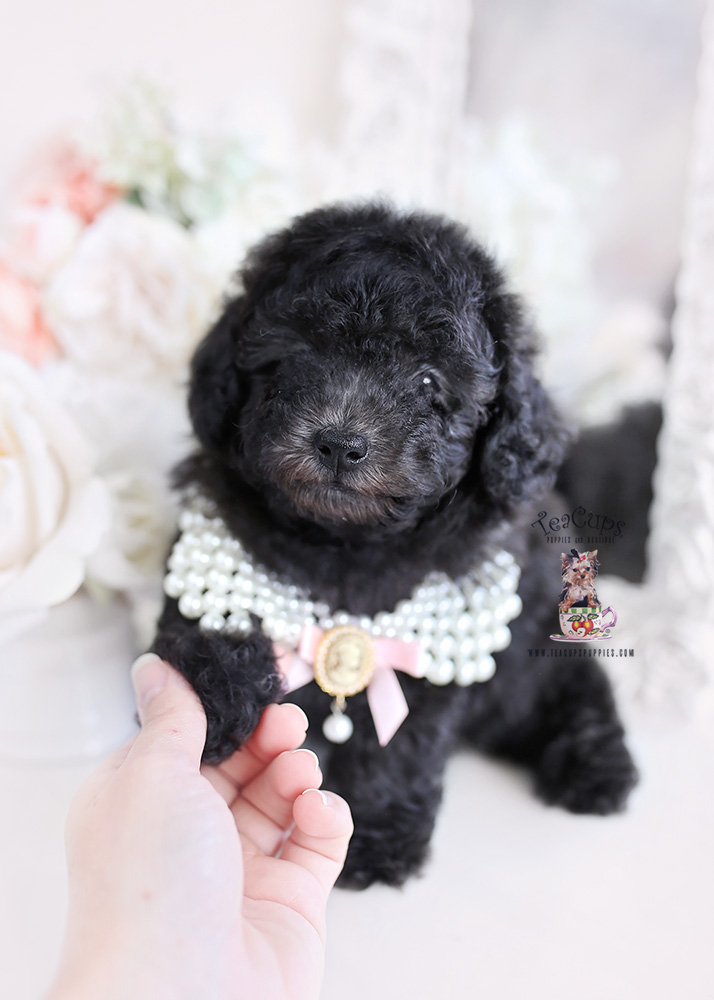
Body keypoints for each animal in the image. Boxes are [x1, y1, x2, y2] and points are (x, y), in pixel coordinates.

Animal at [153, 199, 636, 888]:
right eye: (295, 356)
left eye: (429, 381)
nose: (340, 441)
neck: (348, 541)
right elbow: (197, 616)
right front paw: (223, 691)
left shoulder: (433, 661)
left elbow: (400, 746)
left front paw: (379, 839)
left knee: (575, 690)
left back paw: (598, 772)